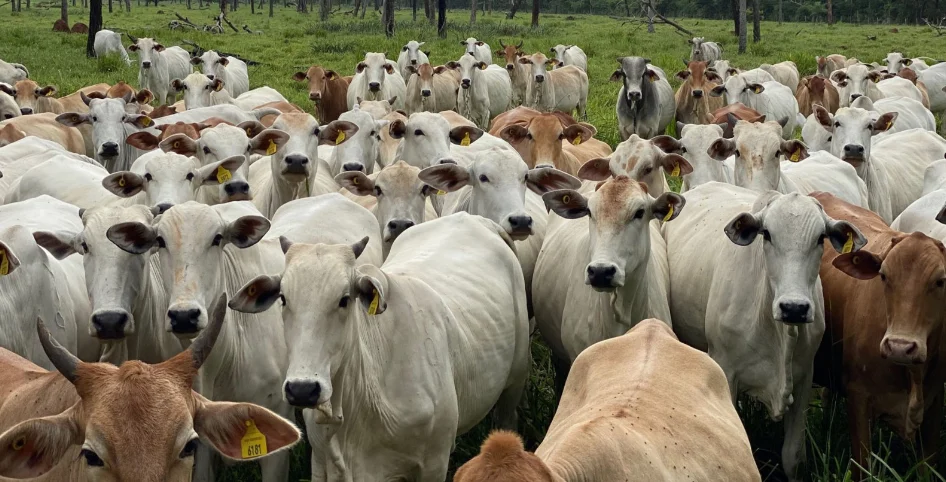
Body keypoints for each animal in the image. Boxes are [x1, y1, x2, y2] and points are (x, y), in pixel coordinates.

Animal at [229, 212, 530, 481]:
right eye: (283, 298)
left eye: (344, 299)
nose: (303, 389)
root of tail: (475, 219)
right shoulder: (322, 461)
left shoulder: (434, 464)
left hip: (515, 380)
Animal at [663, 182, 866, 482]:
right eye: (767, 234)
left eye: (821, 238)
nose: (794, 308)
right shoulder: (726, 371)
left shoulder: (804, 377)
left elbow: (793, 456)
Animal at [814, 192, 946, 480]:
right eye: (883, 276)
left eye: (941, 281)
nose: (900, 346)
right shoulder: (859, 399)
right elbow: (862, 466)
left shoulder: (934, 408)